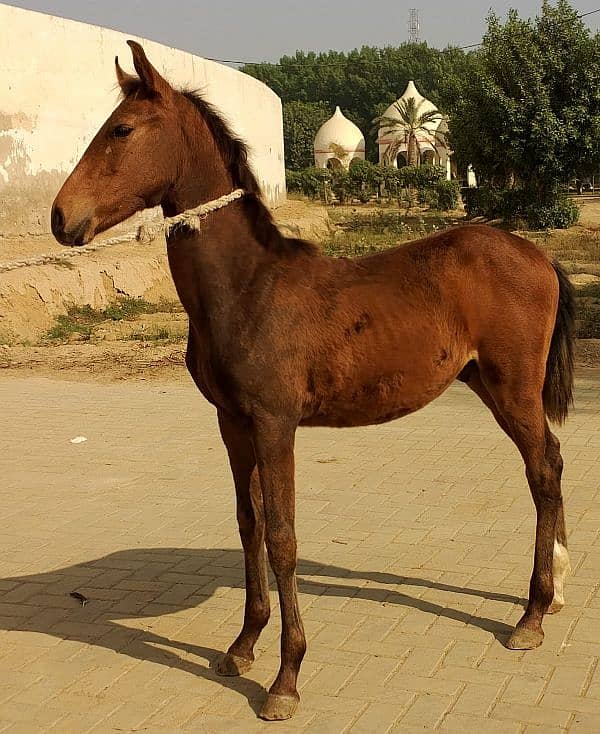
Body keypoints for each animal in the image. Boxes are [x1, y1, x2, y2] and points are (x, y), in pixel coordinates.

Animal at [51, 41, 576, 724]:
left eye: (122, 130)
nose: (62, 217)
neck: (247, 286)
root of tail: (537, 255)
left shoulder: (277, 423)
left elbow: (283, 536)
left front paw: (285, 679)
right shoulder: (233, 423)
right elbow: (248, 525)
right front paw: (242, 646)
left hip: (512, 387)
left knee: (543, 469)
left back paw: (532, 615)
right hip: (486, 383)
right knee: (551, 463)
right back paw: (556, 592)